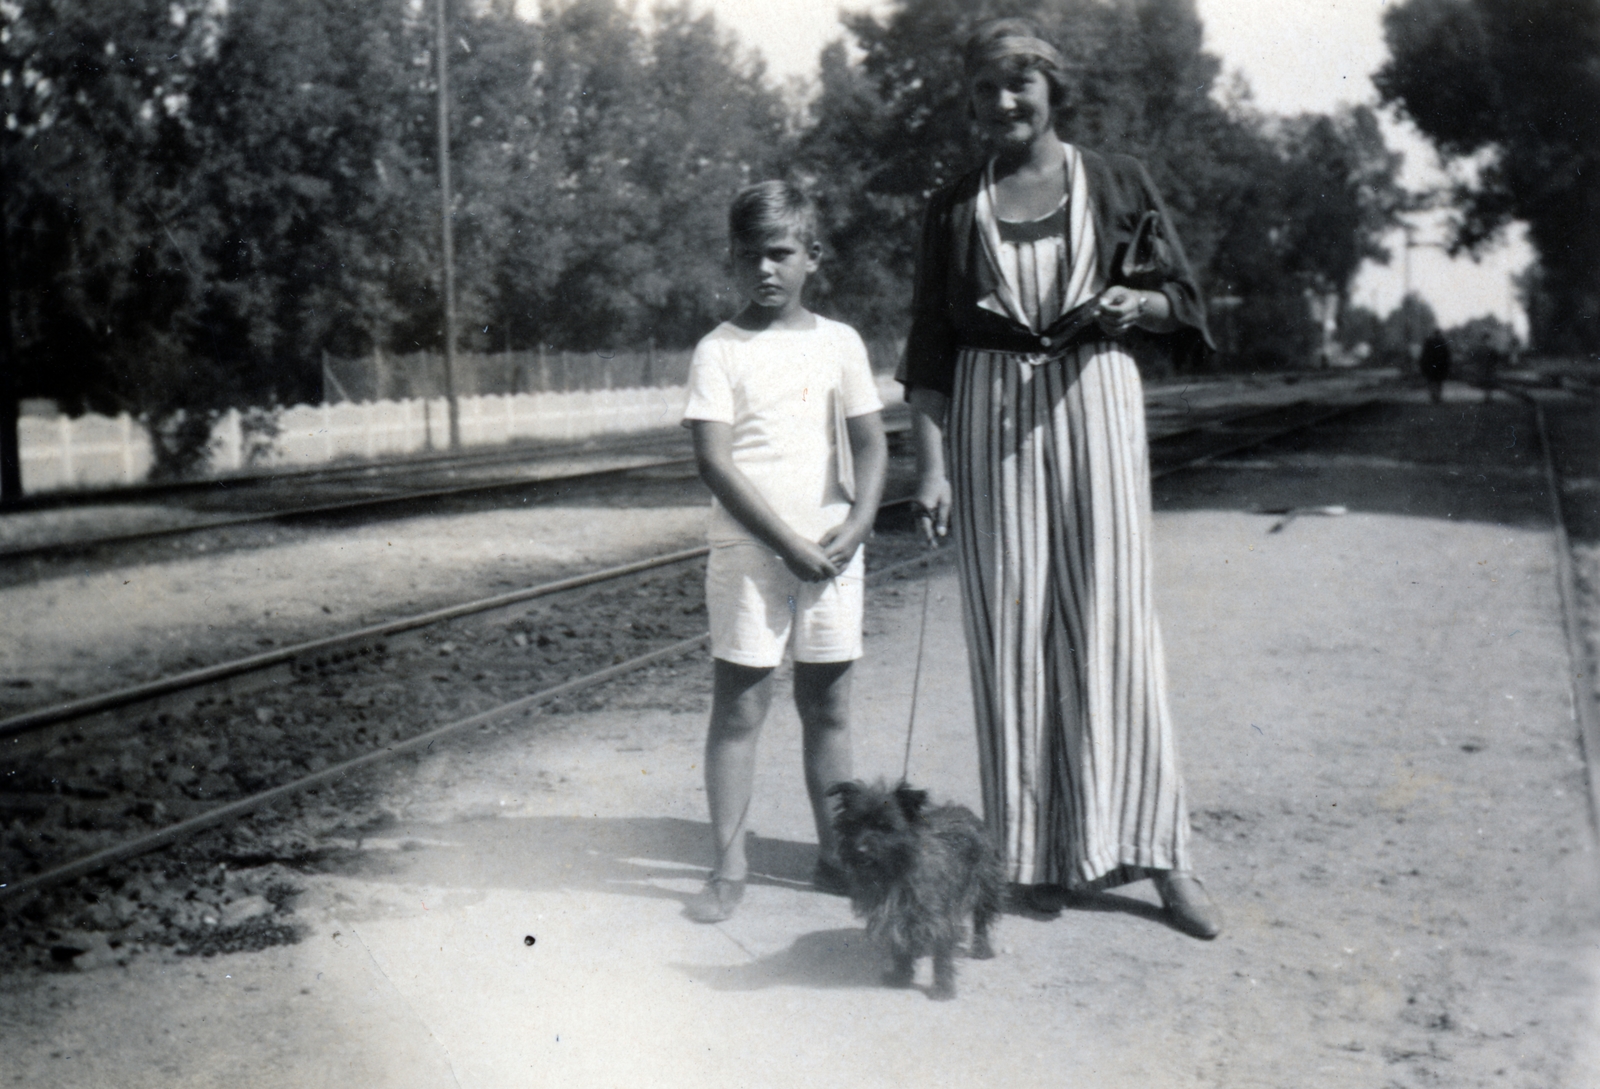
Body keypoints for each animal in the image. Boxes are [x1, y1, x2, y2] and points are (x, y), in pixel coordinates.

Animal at [825, 777, 998, 997]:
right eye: (854, 824)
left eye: (885, 827)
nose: (860, 849)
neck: (896, 871)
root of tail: (964, 811)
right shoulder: (897, 917)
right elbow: (901, 946)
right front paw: (901, 975)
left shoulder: (937, 917)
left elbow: (942, 952)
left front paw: (943, 987)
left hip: (984, 886)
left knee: (981, 918)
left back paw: (982, 948)